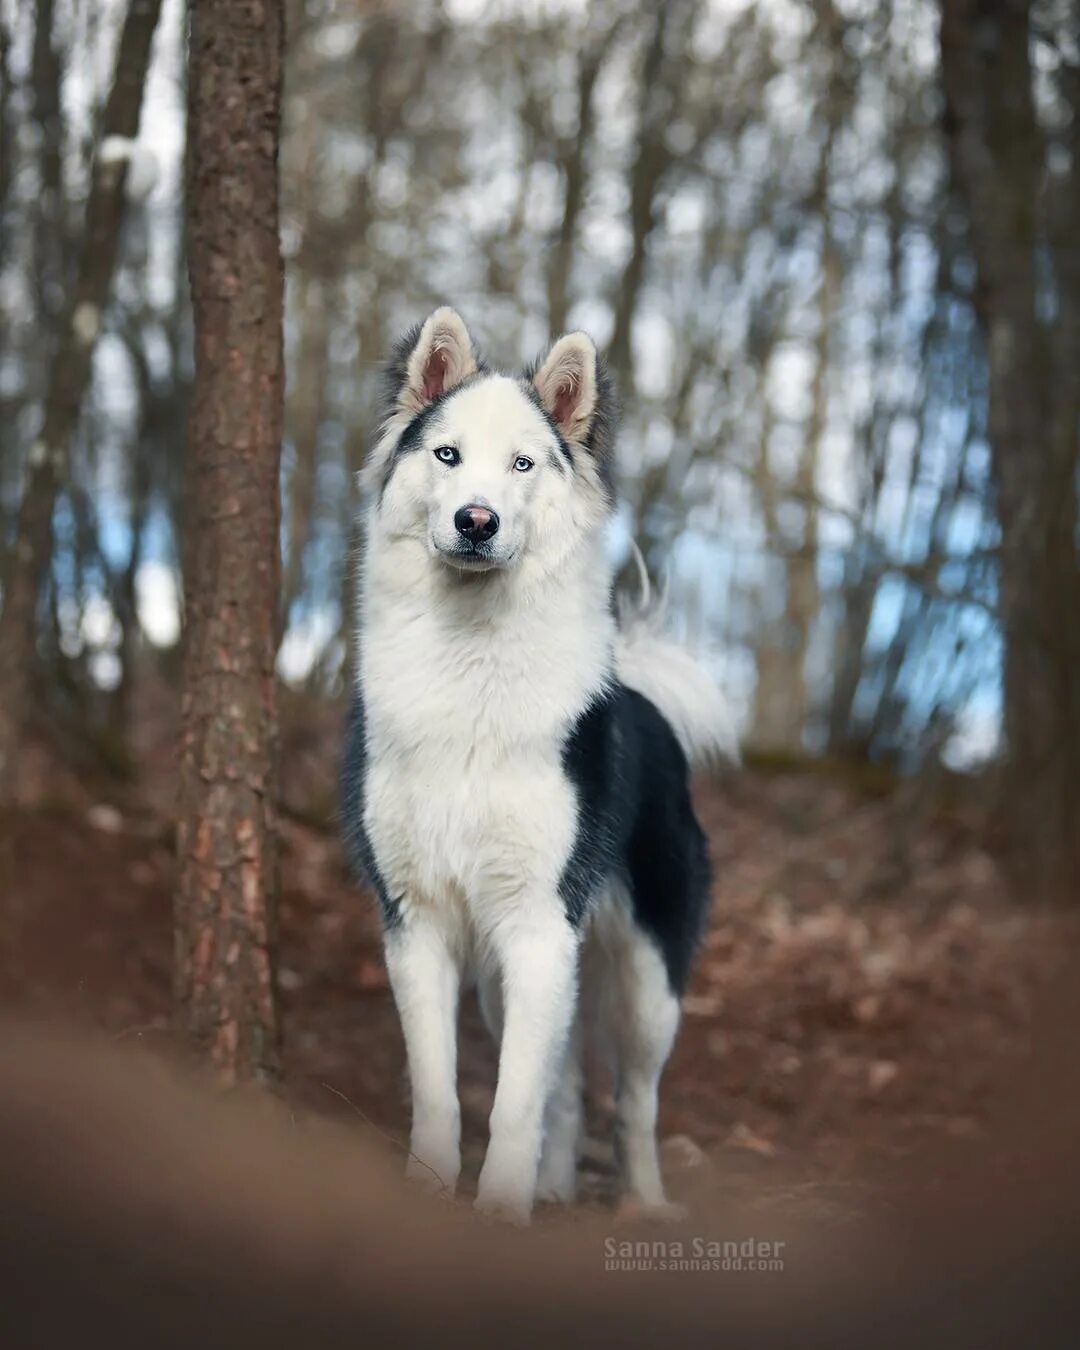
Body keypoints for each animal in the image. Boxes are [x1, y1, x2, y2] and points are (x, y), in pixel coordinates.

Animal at [344, 306, 734, 1225]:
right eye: (447, 455)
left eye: (524, 463)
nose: (476, 521)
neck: (469, 662)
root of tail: (645, 698)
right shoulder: (420, 923)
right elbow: (443, 1089)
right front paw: (433, 1189)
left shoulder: (538, 925)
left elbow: (515, 1100)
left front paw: (497, 1211)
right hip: (510, 975)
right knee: (565, 1087)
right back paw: (555, 1188)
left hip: (648, 981)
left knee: (633, 1101)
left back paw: (644, 1201)